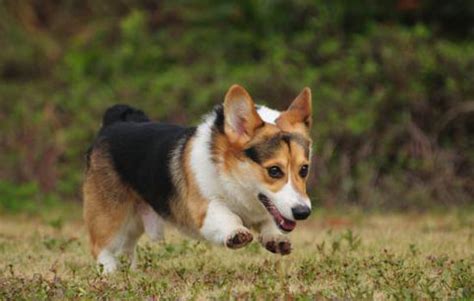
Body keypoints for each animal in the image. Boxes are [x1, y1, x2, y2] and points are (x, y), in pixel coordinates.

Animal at [83, 84, 312, 272]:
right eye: (274, 170)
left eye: (304, 170)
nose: (303, 213)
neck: (231, 175)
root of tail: (112, 123)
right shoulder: (204, 206)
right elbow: (225, 216)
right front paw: (236, 232)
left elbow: (269, 221)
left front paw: (276, 238)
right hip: (111, 217)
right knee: (101, 247)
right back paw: (111, 273)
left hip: (133, 222)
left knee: (126, 247)